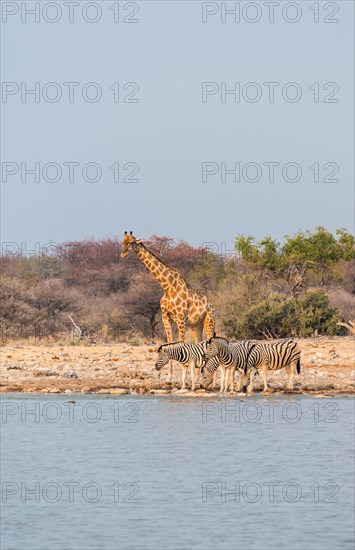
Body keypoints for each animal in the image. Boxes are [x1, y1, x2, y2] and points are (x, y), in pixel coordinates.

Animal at [121, 233, 217, 384]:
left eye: (132, 242)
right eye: (123, 241)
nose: (123, 253)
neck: (167, 287)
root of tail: (212, 305)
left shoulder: (180, 319)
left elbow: (181, 345)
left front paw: (185, 378)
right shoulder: (166, 318)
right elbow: (169, 343)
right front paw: (169, 378)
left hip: (209, 321)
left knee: (212, 343)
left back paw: (212, 380)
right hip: (196, 324)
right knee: (199, 343)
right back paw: (198, 378)